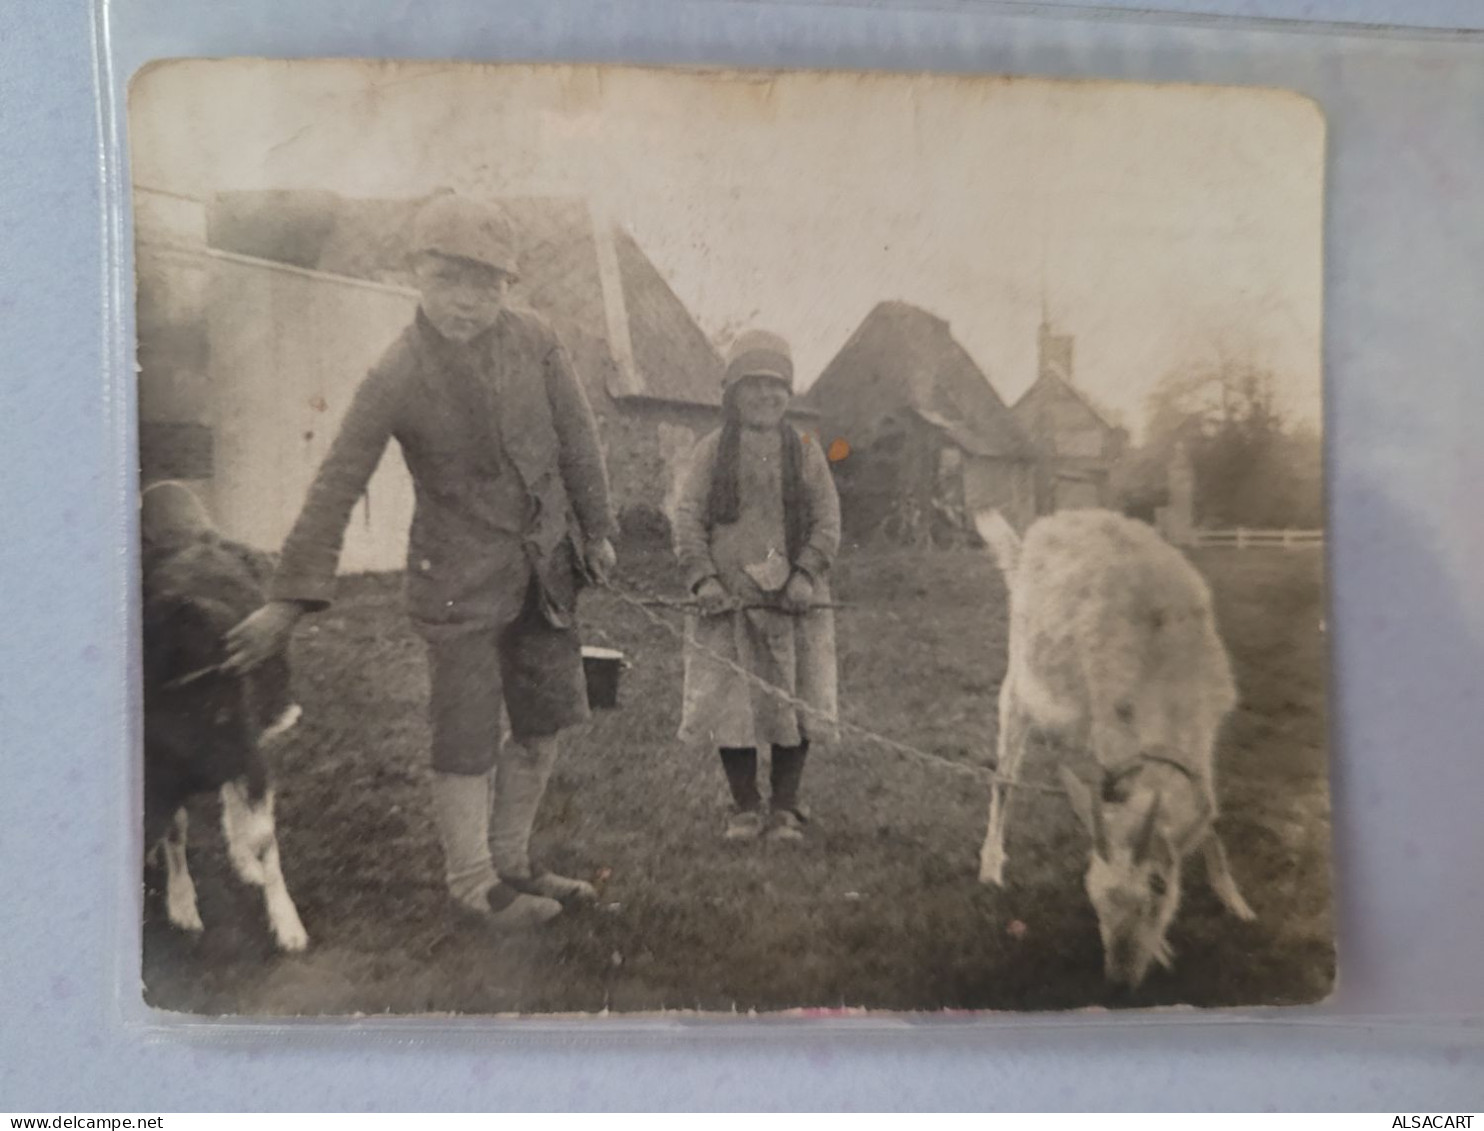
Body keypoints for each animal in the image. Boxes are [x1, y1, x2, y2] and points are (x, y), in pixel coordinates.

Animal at [973, 507, 1252, 985]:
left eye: (1159, 886)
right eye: (1093, 895)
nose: (1120, 980)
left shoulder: (1206, 736)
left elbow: (1209, 816)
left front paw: (1235, 902)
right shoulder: (1112, 740)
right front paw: (1164, 950)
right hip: (1019, 684)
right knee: (1004, 778)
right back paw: (991, 866)